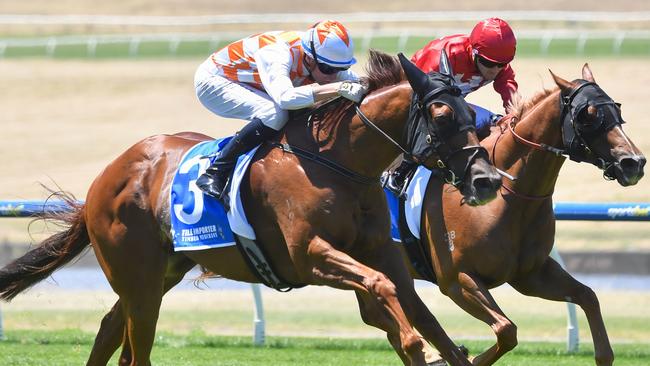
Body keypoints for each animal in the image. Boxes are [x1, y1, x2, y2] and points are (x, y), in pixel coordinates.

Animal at [0, 51, 502, 366]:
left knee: (109, 330)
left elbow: (417, 309)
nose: (486, 179)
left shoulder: (383, 253)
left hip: (161, 272)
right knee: (135, 348)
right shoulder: (309, 256)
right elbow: (384, 292)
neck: (341, 164)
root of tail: (106, 176)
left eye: (471, 111)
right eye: (441, 114)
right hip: (137, 276)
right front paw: (417, 347)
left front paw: (444, 349)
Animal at [394, 64, 644, 364]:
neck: (509, 195)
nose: (633, 162)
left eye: (617, 111)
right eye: (589, 116)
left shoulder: (530, 275)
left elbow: (588, 296)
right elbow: (506, 329)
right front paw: (470, 357)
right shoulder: (456, 279)